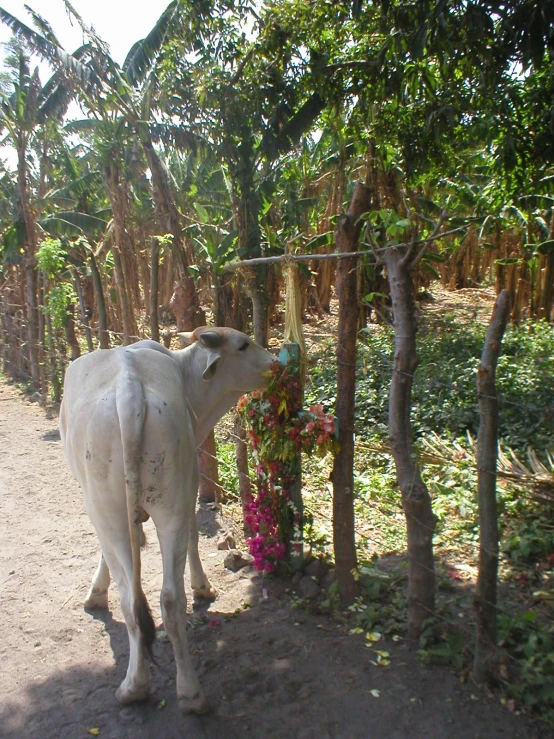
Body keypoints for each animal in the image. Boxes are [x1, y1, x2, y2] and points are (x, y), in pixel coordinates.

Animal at [59, 326, 272, 712]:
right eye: (243, 344)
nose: (278, 361)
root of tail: (129, 387)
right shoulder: (188, 482)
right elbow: (193, 533)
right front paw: (203, 586)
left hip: (112, 506)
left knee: (139, 599)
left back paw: (139, 687)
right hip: (166, 497)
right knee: (166, 599)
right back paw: (183, 692)